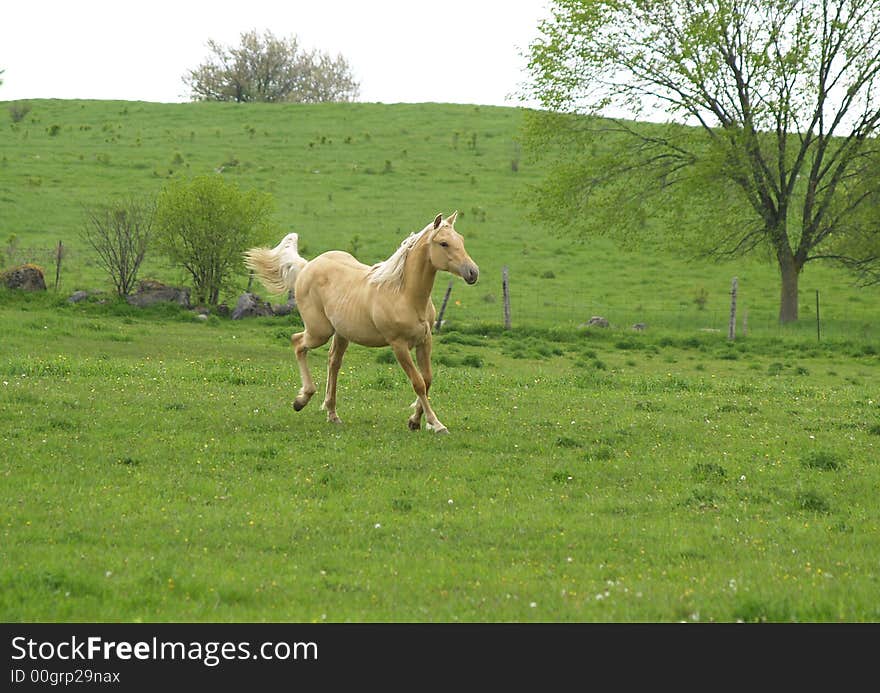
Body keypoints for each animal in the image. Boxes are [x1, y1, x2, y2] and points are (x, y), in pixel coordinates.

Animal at [244, 212, 478, 432]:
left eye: (461, 239)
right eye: (444, 243)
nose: (473, 272)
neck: (404, 295)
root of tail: (308, 266)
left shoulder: (425, 341)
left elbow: (428, 379)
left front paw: (415, 421)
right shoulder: (399, 345)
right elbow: (418, 383)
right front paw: (436, 424)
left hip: (341, 333)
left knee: (333, 362)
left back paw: (332, 413)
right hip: (319, 331)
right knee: (298, 342)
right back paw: (302, 400)